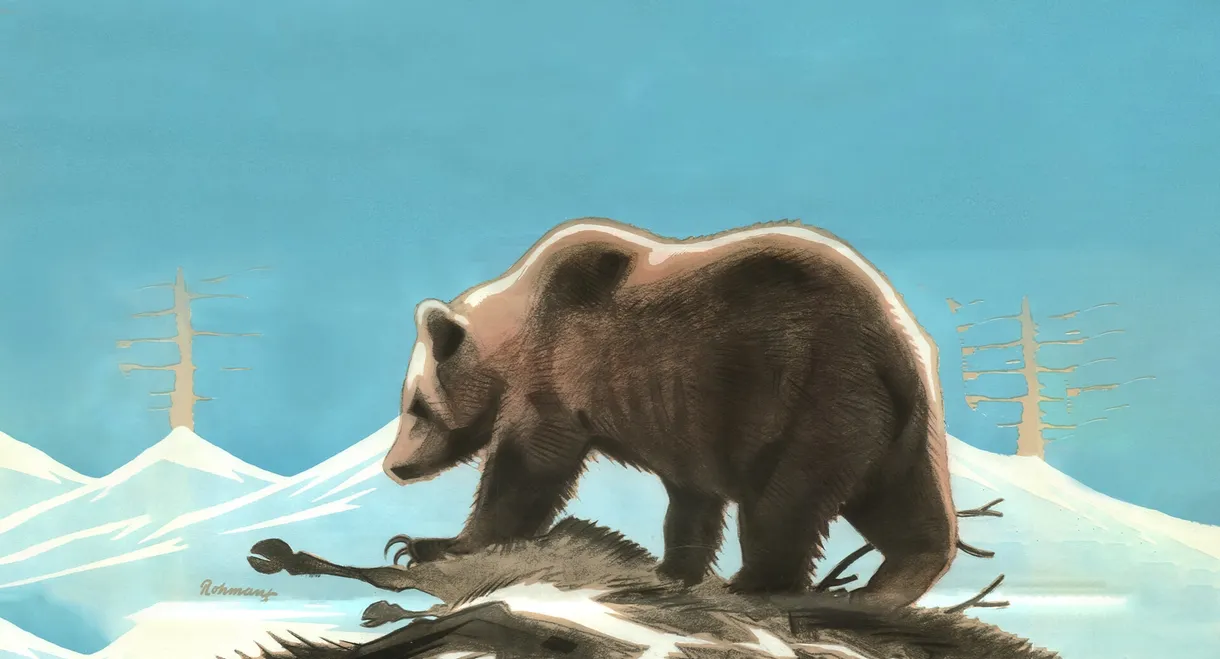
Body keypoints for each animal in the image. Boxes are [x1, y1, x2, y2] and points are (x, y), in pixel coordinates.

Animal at [381, 217, 957, 610]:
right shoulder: (684, 418)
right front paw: (673, 568)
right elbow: (691, 495)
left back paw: (755, 582)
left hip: (813, 392)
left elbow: (529, 468)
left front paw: (428, 545)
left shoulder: (562, 366)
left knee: (786, 501)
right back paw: (892, 582)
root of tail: (900, 341)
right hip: (887, 422)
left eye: (416, 405)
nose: (394, 466)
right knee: (903, 500)